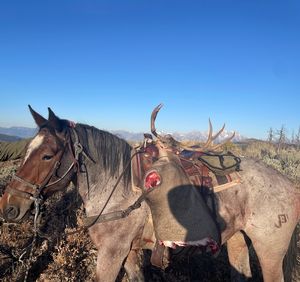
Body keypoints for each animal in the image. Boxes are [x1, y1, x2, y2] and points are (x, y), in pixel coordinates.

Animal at [0, 106, 300, 282]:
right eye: (26, 149)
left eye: (48, 155)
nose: (9, 207)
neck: (115, 188)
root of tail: (290, 185)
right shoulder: (130, 252)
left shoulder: (111, 254)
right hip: (237, 240)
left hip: (270, 251)